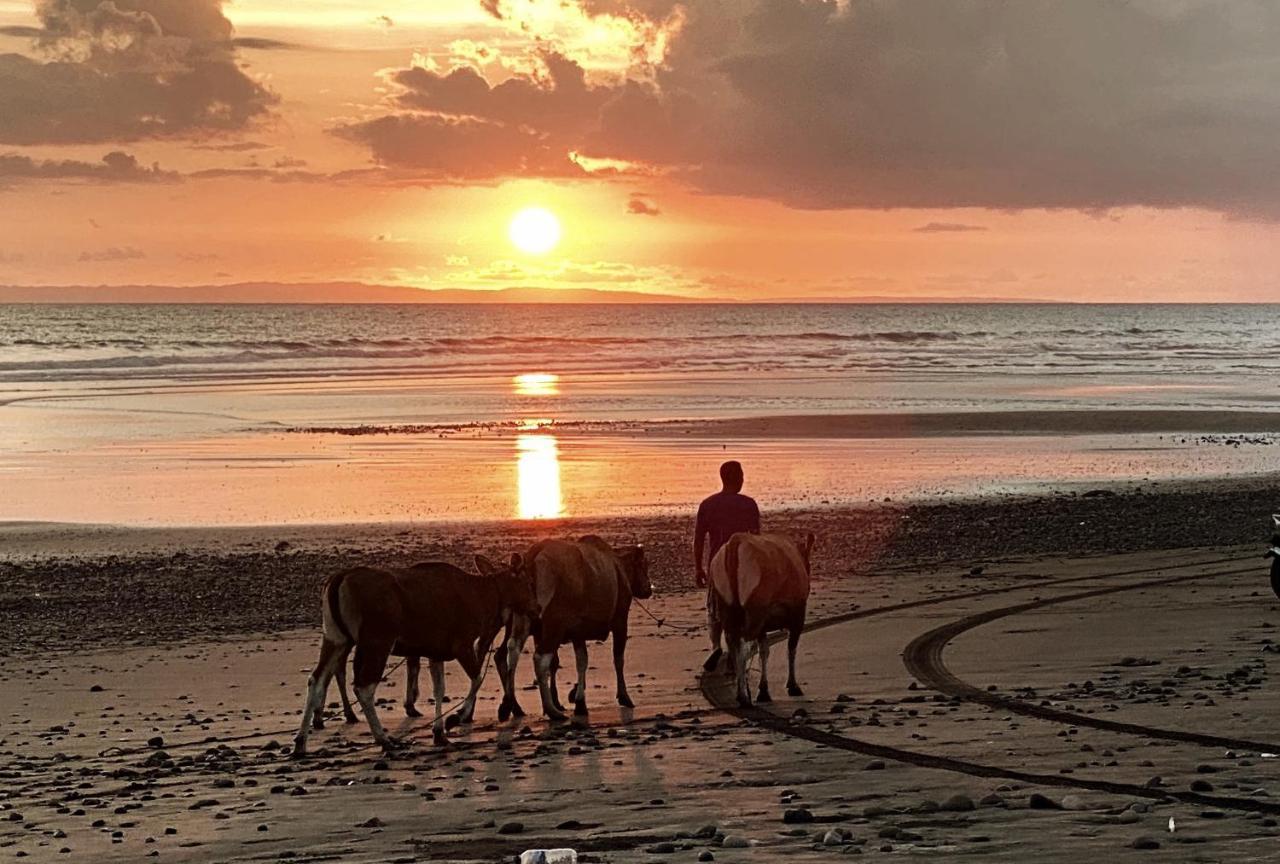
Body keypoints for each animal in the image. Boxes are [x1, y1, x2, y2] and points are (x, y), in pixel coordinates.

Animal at [291, 555, 529, 757]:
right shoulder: (461, 643)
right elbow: (477, 679)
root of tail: (338, 580)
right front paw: (455, 717)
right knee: (363, 686)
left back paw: (300, 742)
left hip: (336, 638)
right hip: (377, 640)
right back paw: (384, 739)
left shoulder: (436, 651)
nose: (533, 604)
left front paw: (439, 732)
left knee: (316, 679)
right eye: (524, 580)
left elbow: (439, 688)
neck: (483, 597)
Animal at [501, 537, 655, 721]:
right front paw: (624, 696)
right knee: (540, 658)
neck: (618, 567)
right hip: (554, 625)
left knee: (513, 649)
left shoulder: (578, 633)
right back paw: (552, 710)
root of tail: (533, 558)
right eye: (644, 564)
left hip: (523, 618)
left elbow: (582, 661)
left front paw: (580, 702)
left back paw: (510, 705)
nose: (648, 588)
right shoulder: (620, 622)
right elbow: (618, 659)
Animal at [706, 529, 814, 706]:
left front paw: (763, 691)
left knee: (733, 643)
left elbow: (764, 651)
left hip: (727, 607)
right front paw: (793, 686)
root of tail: (735, 542)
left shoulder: (764, 625)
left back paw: (741, 692)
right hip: (754, 611)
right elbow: (791, 649)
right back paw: (744, 696)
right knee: (743, 646)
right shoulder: (797, 615)